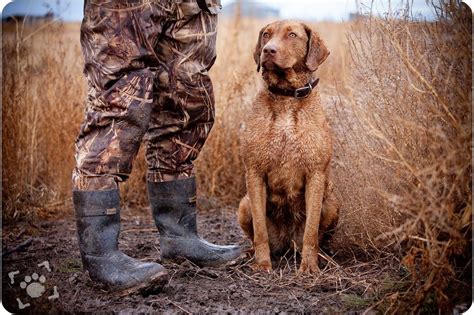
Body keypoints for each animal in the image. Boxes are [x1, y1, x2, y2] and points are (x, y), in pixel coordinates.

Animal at [239, 21, 338, 274]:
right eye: (266, 35)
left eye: (292, 35)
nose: (268, 51)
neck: (286, 98)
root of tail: (287, 243)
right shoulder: (254, 172)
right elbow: (260, 231)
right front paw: (262, 264)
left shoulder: (316, 175)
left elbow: (311, 231)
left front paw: (309, 267)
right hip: (243, 204)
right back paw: (249, 254)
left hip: (332, 203)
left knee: (316, 237)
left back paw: (322, 257)